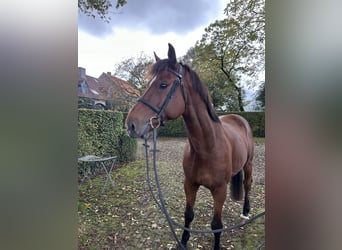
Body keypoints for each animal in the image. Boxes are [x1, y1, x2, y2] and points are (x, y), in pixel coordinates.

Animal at [125, 44, 254, 249]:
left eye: (163, 84)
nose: (130, 125)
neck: (207, 148)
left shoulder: (220, 190)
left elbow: (216, 225)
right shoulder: (190, 184)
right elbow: (188, 215)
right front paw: (184, 241)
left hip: (248, 164)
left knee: (247, 184)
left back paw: (246, 212)